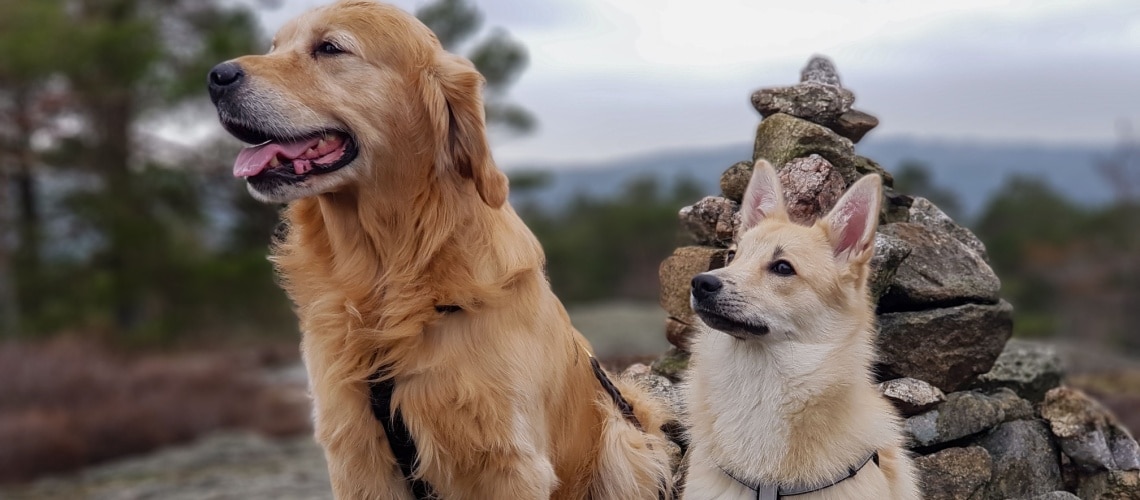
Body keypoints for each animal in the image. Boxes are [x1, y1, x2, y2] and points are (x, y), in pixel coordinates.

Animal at [207, 1, 665, 498]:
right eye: (274, 46)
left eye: (329, 48)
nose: (217, 76)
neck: (386, 271)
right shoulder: (355, 453)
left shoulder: (509, 461)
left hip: (627, 442)